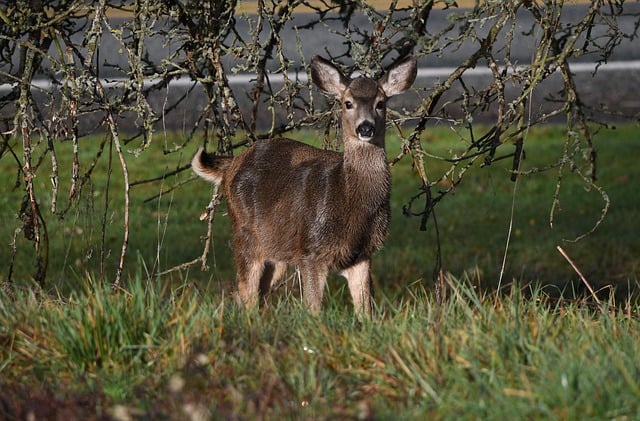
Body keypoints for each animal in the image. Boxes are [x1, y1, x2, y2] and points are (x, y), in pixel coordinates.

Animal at [192, 55, 418, 316]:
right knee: (245, 293)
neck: (347, 199)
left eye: (380, 103)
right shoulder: (311, 249)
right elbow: (313, 308)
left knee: (257, 294)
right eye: (348, 103)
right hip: (246, 234)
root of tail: (231, 164)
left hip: (278, 251)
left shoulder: (362, 254)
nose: (365, 127)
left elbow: (365, 310)